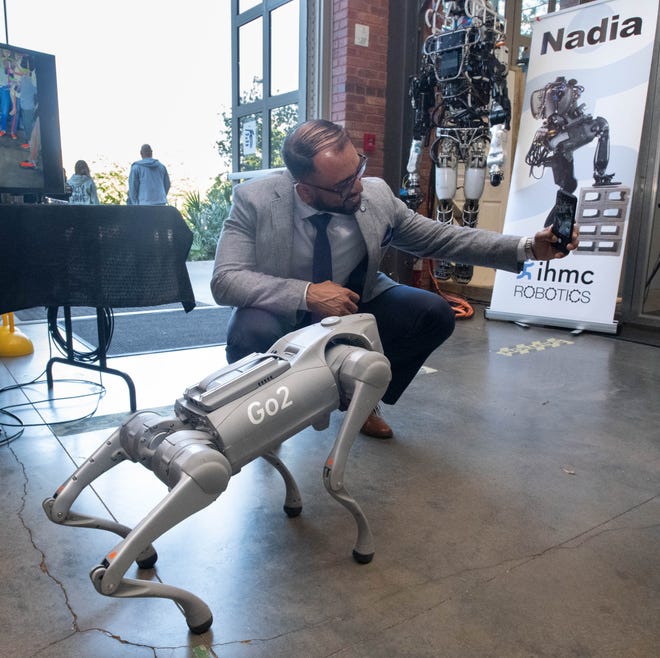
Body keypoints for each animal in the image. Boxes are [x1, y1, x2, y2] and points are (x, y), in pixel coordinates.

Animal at [43, 316, 392, 632]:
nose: (369, 322)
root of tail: (159, 444)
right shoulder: (369, 371)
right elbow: (332, 478)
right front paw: (364, 547)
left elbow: (292, 464)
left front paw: (297, 504)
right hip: (207, 469)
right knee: (108, 575)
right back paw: (195, 611)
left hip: (140, 432)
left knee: (60, 509)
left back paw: (142, 552)